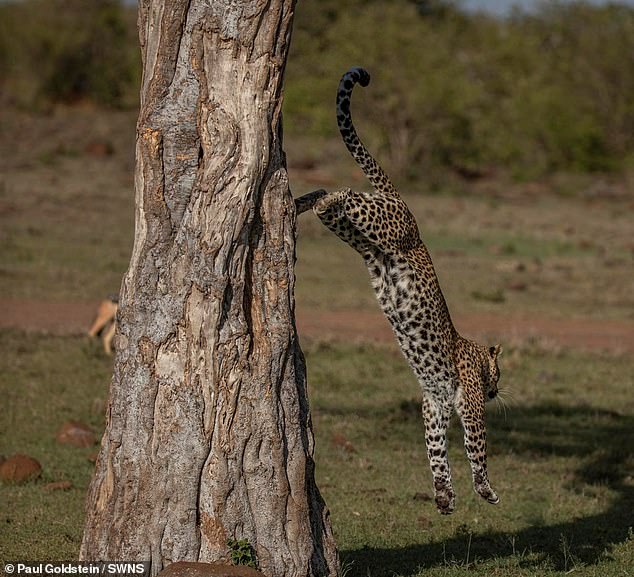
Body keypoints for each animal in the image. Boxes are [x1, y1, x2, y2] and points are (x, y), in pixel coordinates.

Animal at [294, 67, 502, 512]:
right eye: (498, 374)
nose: (496, 391)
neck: (476, 355)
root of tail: (407, 207)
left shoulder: (434, 405)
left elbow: (436, 451)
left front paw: (444, 496)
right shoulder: (469, 406)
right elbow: (476, 447)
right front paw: (486, 490)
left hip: (361, 237)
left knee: (331, 203)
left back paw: (305, 199)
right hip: (381, 221)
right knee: (346, 194)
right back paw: (327, 195)